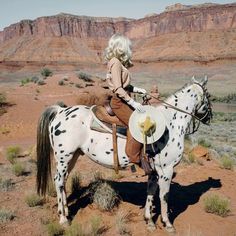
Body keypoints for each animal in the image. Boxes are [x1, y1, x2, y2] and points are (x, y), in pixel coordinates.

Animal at [36, 76, 212, 232]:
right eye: (209, 96)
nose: (210, 118)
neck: (170, 123)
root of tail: (60, 110)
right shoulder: (166, 170)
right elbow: (164, 196)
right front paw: (167, 224)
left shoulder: (154, 171)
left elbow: (150, 192)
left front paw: (149, 221)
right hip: (64, 157)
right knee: (58, 181)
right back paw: (63, 219)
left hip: (73, 156)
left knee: (63, 181)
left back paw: (66, 211)